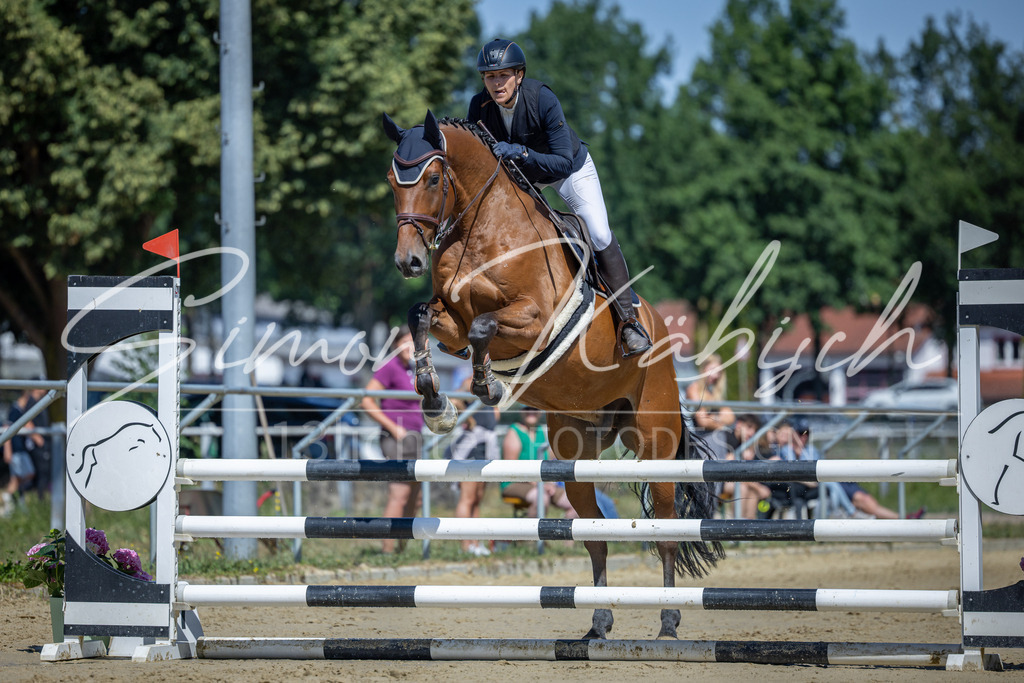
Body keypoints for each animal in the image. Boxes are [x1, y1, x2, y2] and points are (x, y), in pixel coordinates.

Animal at [382, 110, 722, 640]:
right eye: (390, 181)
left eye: (434, 179)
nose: (408, 261)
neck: (483, 229)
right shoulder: (449, 322)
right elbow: (422, 316)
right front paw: (436, 403)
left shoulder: (533, 319)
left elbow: (484, 325)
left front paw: (487, 385)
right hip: (576, 452)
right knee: (595, 535)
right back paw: (599, 623)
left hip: (656, 442)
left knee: (665, 530)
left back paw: (668, 622)